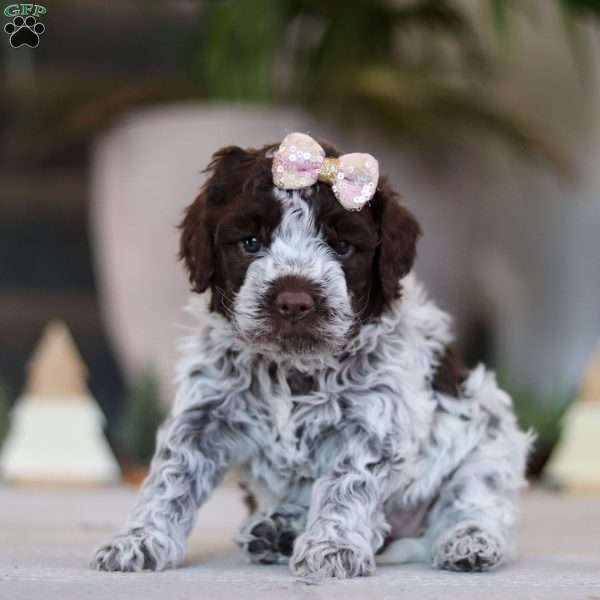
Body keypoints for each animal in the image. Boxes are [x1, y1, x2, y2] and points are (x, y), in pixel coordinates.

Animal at [91, 134, 532, 580]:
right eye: (251, 242)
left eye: (342, 246)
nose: (293, 302)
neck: (291, 367)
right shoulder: (204, 416)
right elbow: (171, 477)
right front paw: (139, 539)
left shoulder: (370, 421)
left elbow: (346, 484)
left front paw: (333, 546)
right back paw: (277, 530)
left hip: (490, 444)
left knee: (473, 500)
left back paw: (470, 540)